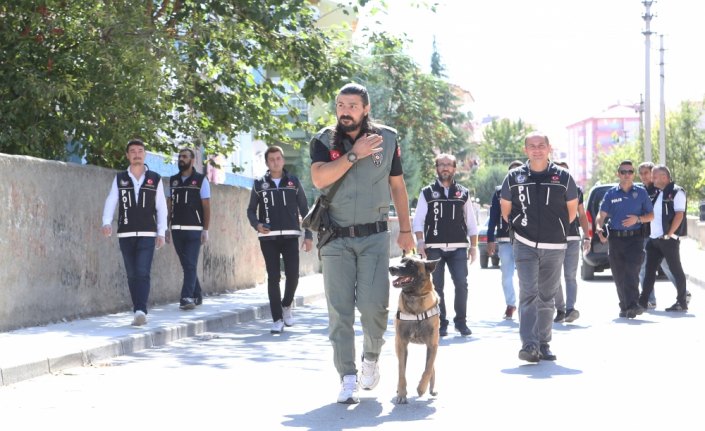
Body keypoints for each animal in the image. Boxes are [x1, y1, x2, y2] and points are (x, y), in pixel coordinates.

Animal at [388, 256, 438, 404]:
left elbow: (428, 368)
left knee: (431, 366)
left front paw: (421, 388)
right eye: (401, 260)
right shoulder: (402, 344)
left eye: (411, 264)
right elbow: (401, 371)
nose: (391, 268)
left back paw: (430, 388)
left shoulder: (432, 344)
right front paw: (401, 394)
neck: (415, 297)